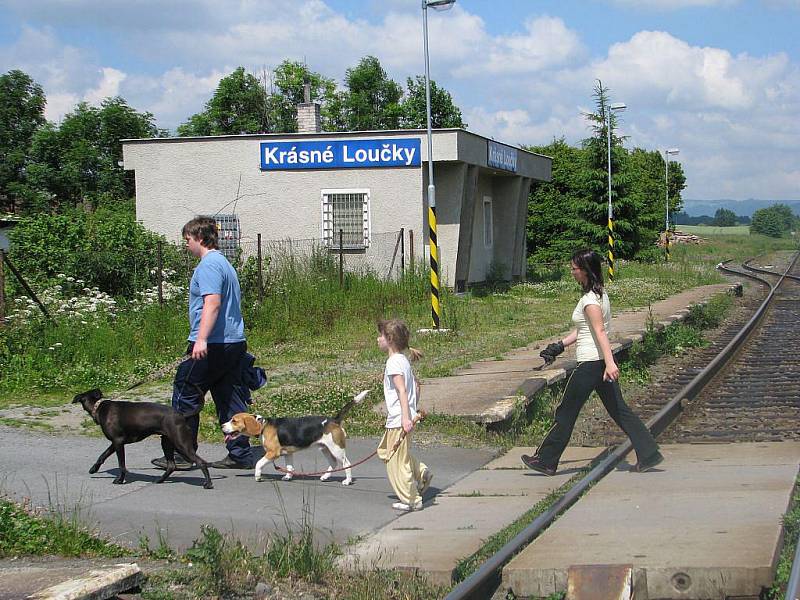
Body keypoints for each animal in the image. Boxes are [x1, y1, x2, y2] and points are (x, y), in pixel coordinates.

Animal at [72, 390, 212, 488]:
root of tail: (181, 414)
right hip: (166, 442)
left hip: (181, 443)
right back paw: (159, 480)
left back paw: (208, 484)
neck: (98, 407)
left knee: (201, 462)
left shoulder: (118, 442)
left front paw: (119, 480)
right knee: (171, 466)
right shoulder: (115, 443)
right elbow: (102, 455)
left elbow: (121, 465)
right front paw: (93, 469)